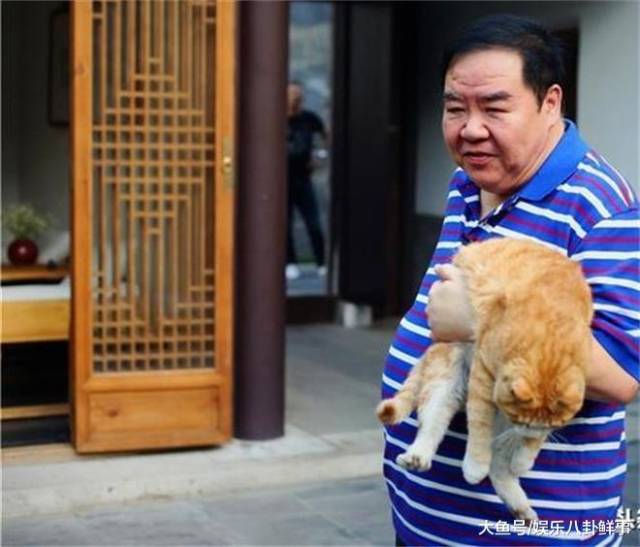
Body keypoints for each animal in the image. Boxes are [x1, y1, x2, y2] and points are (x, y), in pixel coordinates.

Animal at [377, 238, 593, 521]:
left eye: (548, 425)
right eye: (524, 420)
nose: (525, 430)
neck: (551, 331)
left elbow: (532, 442)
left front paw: (524, 458)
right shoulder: (483, 374)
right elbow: (478, 425)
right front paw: (475, 466)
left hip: (501, 431)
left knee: (499, 464)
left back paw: (519, 505)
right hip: (445, 382)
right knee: (432, 426)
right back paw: (417, 457)